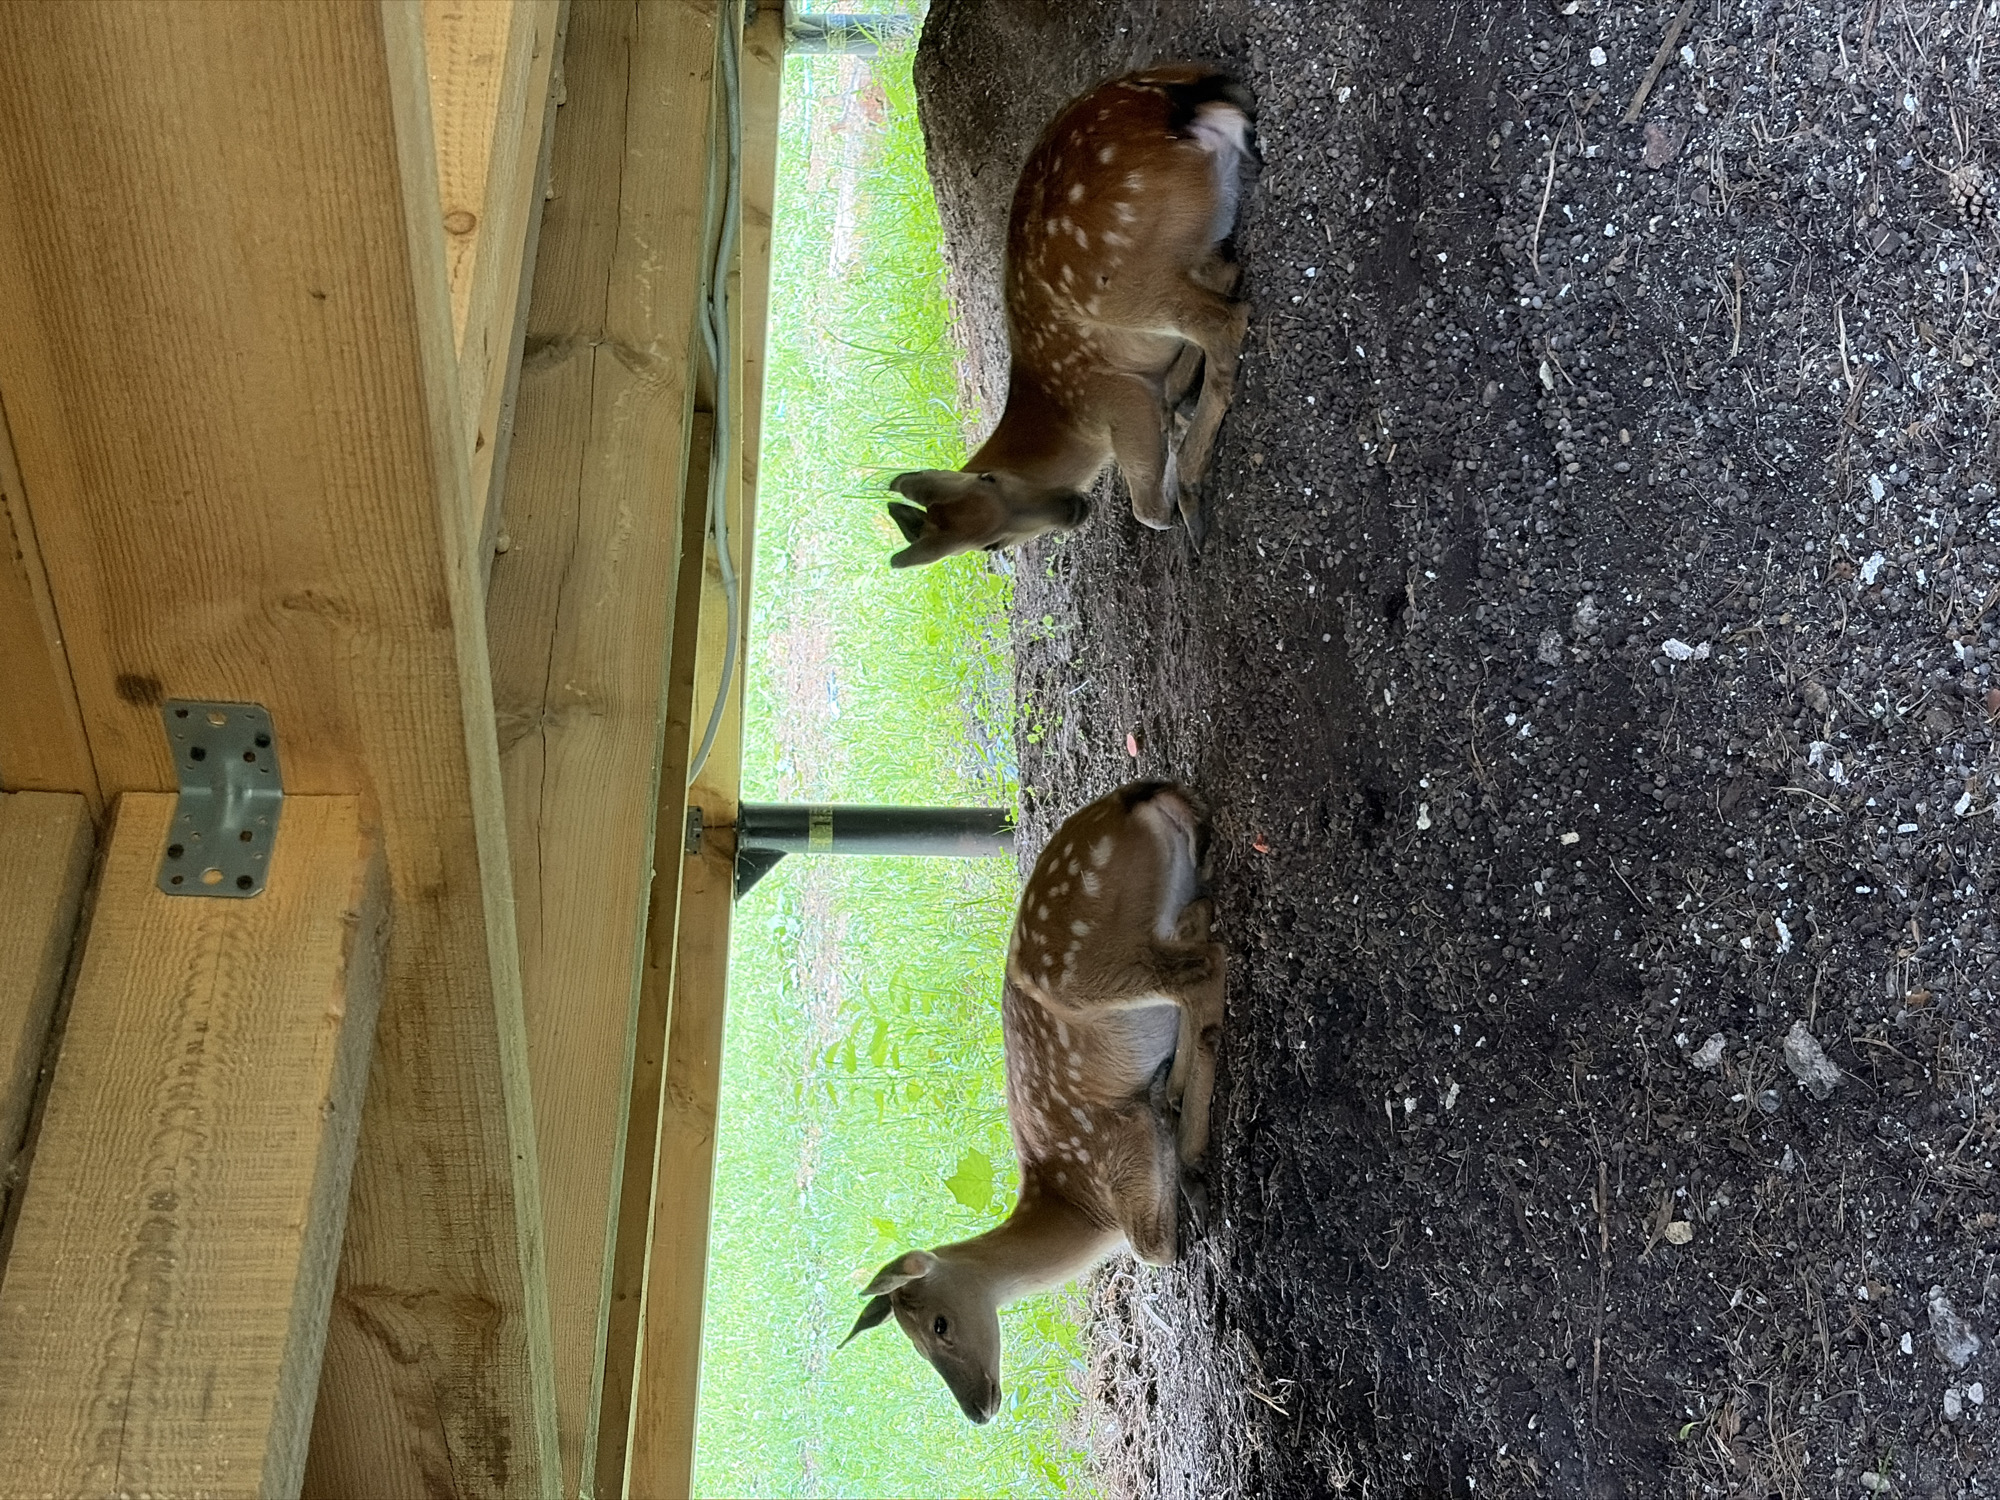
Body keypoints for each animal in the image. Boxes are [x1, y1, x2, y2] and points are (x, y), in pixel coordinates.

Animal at [840, 781, 1226, 1423]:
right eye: (914, 1348)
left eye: (939, 1326)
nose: (978, 1411)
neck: (1081, 1210)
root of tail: (1135, 797)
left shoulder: (1119, 1151)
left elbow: (1155, 1248)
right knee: (1204, 929)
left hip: (1087, 965)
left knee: (1203, 968)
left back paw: (1190, 1136)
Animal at [885, 65, 1257, 568]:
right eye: (991, 546)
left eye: (990, 479)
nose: (1072, 509)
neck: (1065, 418)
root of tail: (1186, 108)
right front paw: (1177, 397)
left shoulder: (1117, 399)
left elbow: (1149, 510)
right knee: (1229, 277)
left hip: (1121, 282)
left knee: (1225, 321)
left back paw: (1190, 490)